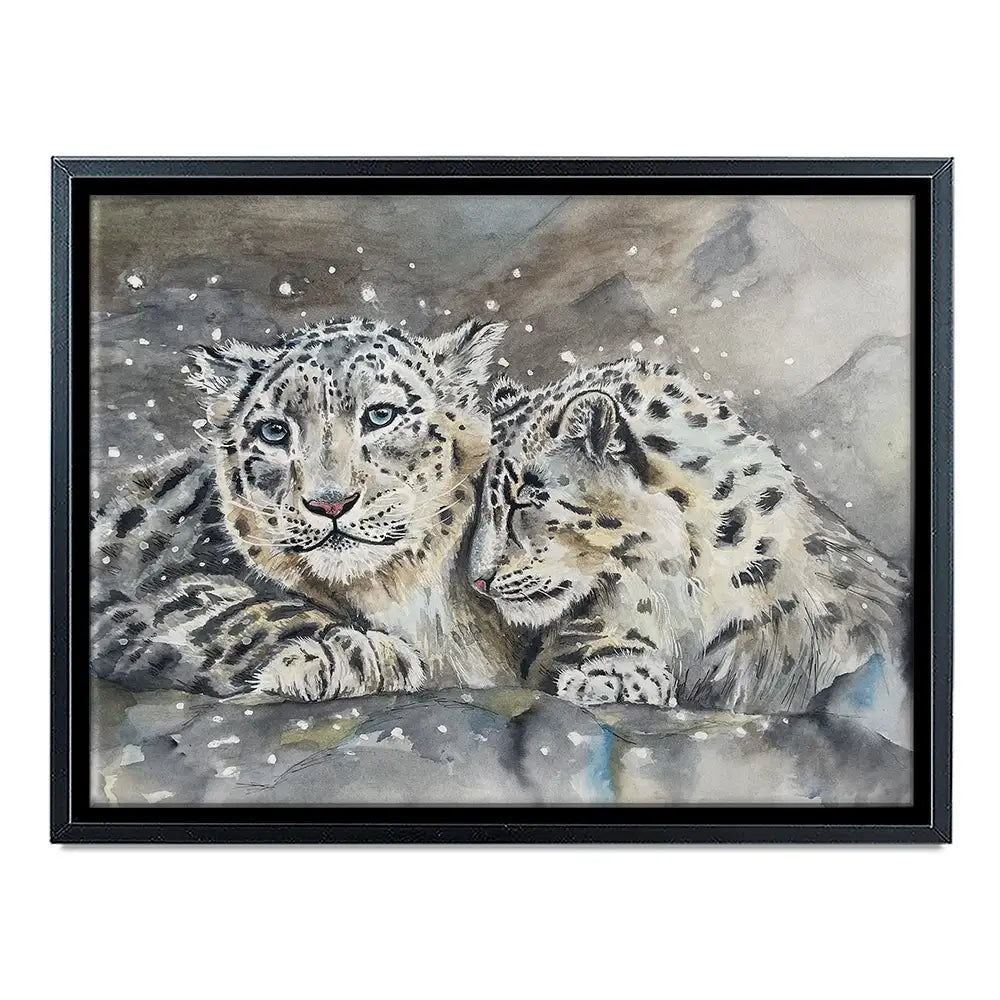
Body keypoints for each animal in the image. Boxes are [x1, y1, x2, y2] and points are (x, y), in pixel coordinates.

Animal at [91, 316, 521, 701]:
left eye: (381, 415)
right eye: (273, 431)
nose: (330, 502)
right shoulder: (141, 591)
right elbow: (232, 611)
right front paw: (355, 654)